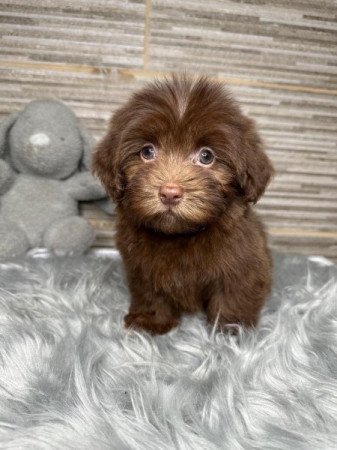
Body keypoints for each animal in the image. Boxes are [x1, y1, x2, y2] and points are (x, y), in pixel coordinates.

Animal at [92, 76, 272, 334]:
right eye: (147, 151)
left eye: (206, 156)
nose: (169, 193)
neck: (180, 235)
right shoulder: (142, 269)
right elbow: (151, 293)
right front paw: (152, 321)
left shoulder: (242, 265)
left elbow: (233, 294)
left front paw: (230, 329)